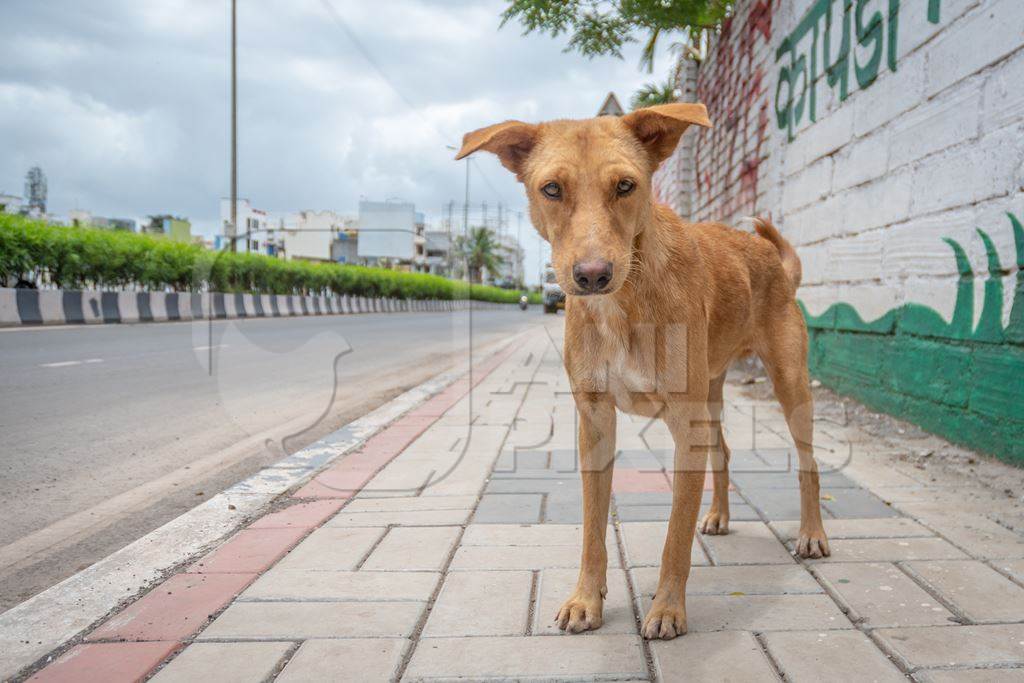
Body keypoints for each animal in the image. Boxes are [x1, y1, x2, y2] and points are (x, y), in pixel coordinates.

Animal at [460, 104, 827, 638]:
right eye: (551, 189)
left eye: (626, 185)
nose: (593, 275)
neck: (624, 300)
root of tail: (774, 261)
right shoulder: (594, 420)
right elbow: (593, 526)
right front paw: (586, 599)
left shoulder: (684, 424)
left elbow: (676, 536)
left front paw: (668, 608)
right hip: (711, 392)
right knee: (724, 452)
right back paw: (718, 515)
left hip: (789, 382)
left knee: (808, 464)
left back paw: (812, 534)